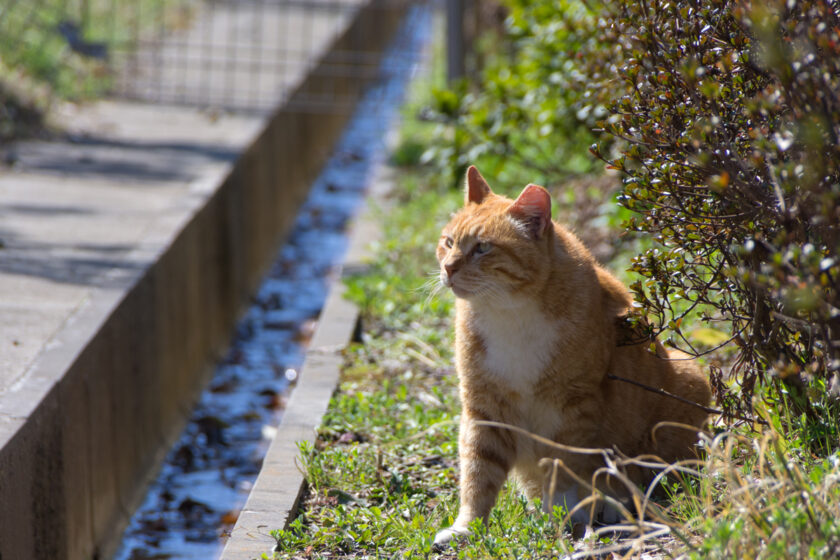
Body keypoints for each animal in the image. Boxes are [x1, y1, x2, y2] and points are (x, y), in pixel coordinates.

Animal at [434, 167, 716, 548]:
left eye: (482, 248)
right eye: (449, 242)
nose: (448, 268)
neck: (509, 313)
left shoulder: (573, 407)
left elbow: (565, 465)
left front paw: (569, 515)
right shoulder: (484, 407)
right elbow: (478, 473)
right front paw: (467, 527)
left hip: (689, 381)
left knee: (660, 478)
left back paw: (615, 505)